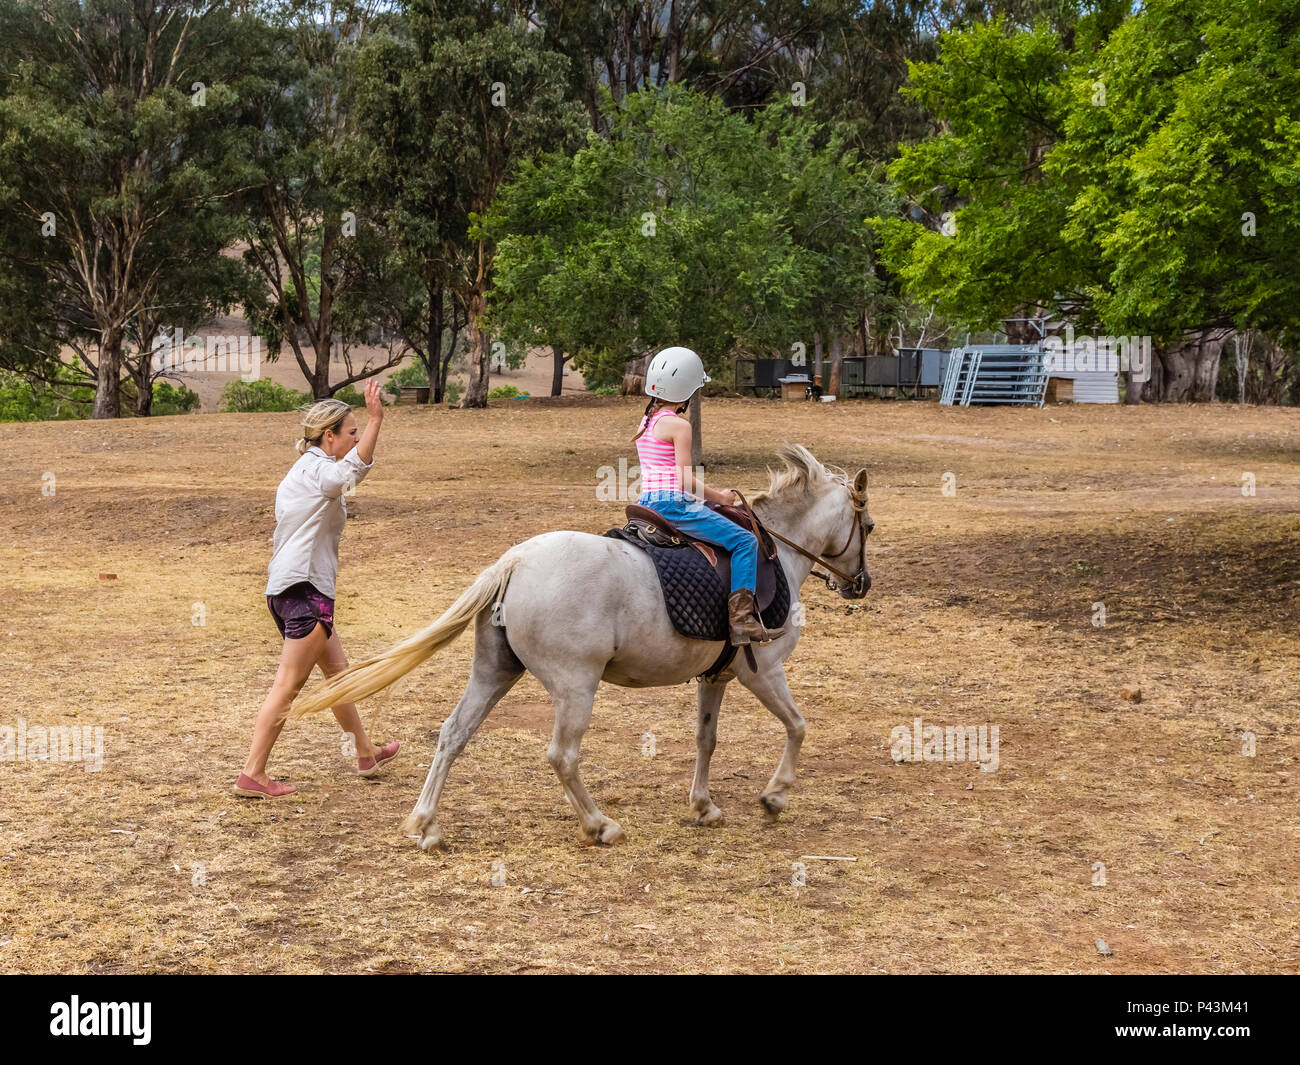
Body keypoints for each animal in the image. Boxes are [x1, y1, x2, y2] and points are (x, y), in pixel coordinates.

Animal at [286, 444, 873, 853]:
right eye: (867, 525)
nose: (860, 585)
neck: (776, 551)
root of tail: (516, 560)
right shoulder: (762, 671)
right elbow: (798, 726)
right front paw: (775, 796)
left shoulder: (718, 677)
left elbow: (706, 741)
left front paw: (704, 806)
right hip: (575, 686)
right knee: (562, 756)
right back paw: (599, 825)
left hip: (494, 671)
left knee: (453, 734)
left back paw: (426, 825)